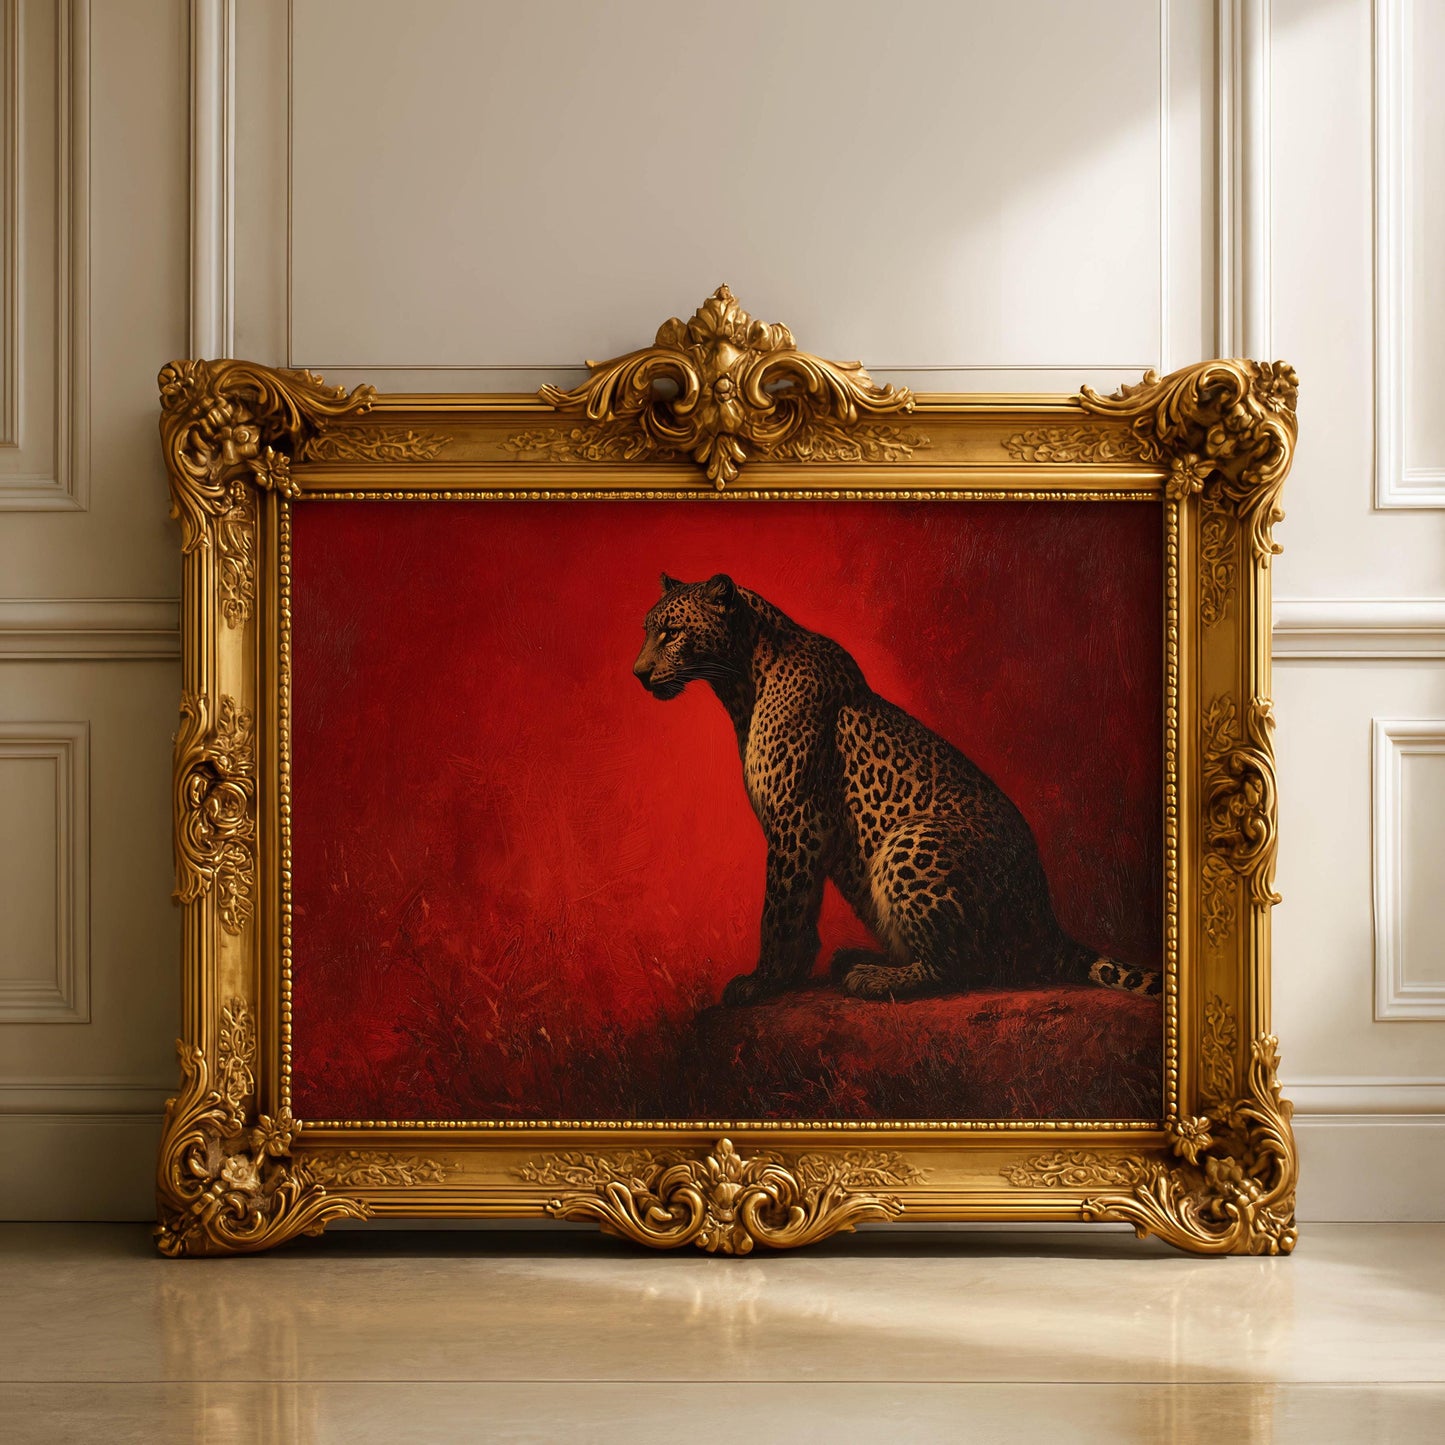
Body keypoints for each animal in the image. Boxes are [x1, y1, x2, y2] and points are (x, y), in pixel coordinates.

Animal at [633, 572, 1161, 1007]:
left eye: (672, 632)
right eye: (647, 630)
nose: (638, 673)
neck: (744, 680)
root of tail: (1049, 925)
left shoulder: (797, 819)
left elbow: (781, 910)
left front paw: (764, 981)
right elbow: (800, 909)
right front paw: (789, 975)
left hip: (916, 837)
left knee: (965, 966)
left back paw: (874, 978)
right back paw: (857, 958)